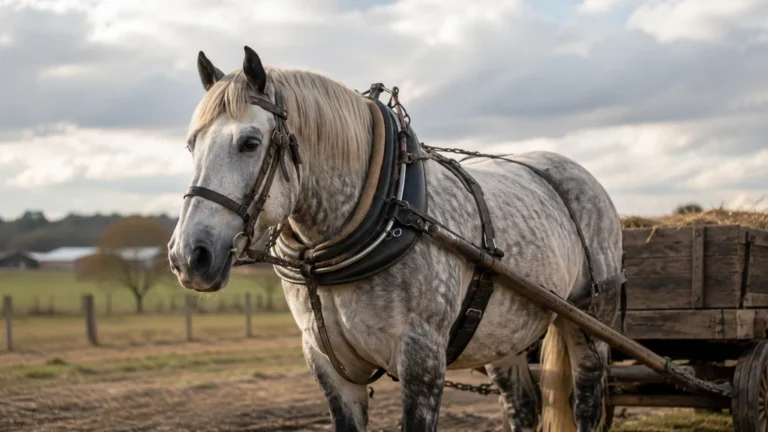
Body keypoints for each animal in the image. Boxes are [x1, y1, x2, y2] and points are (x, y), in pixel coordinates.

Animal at [168, 46, 624, 432]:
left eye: (250, 142)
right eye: (191, 145)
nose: (189, 256)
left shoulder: (422, 359)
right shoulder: (329, 363)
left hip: (589, 318)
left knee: (586, 401)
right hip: (503, 332)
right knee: (522, 407)